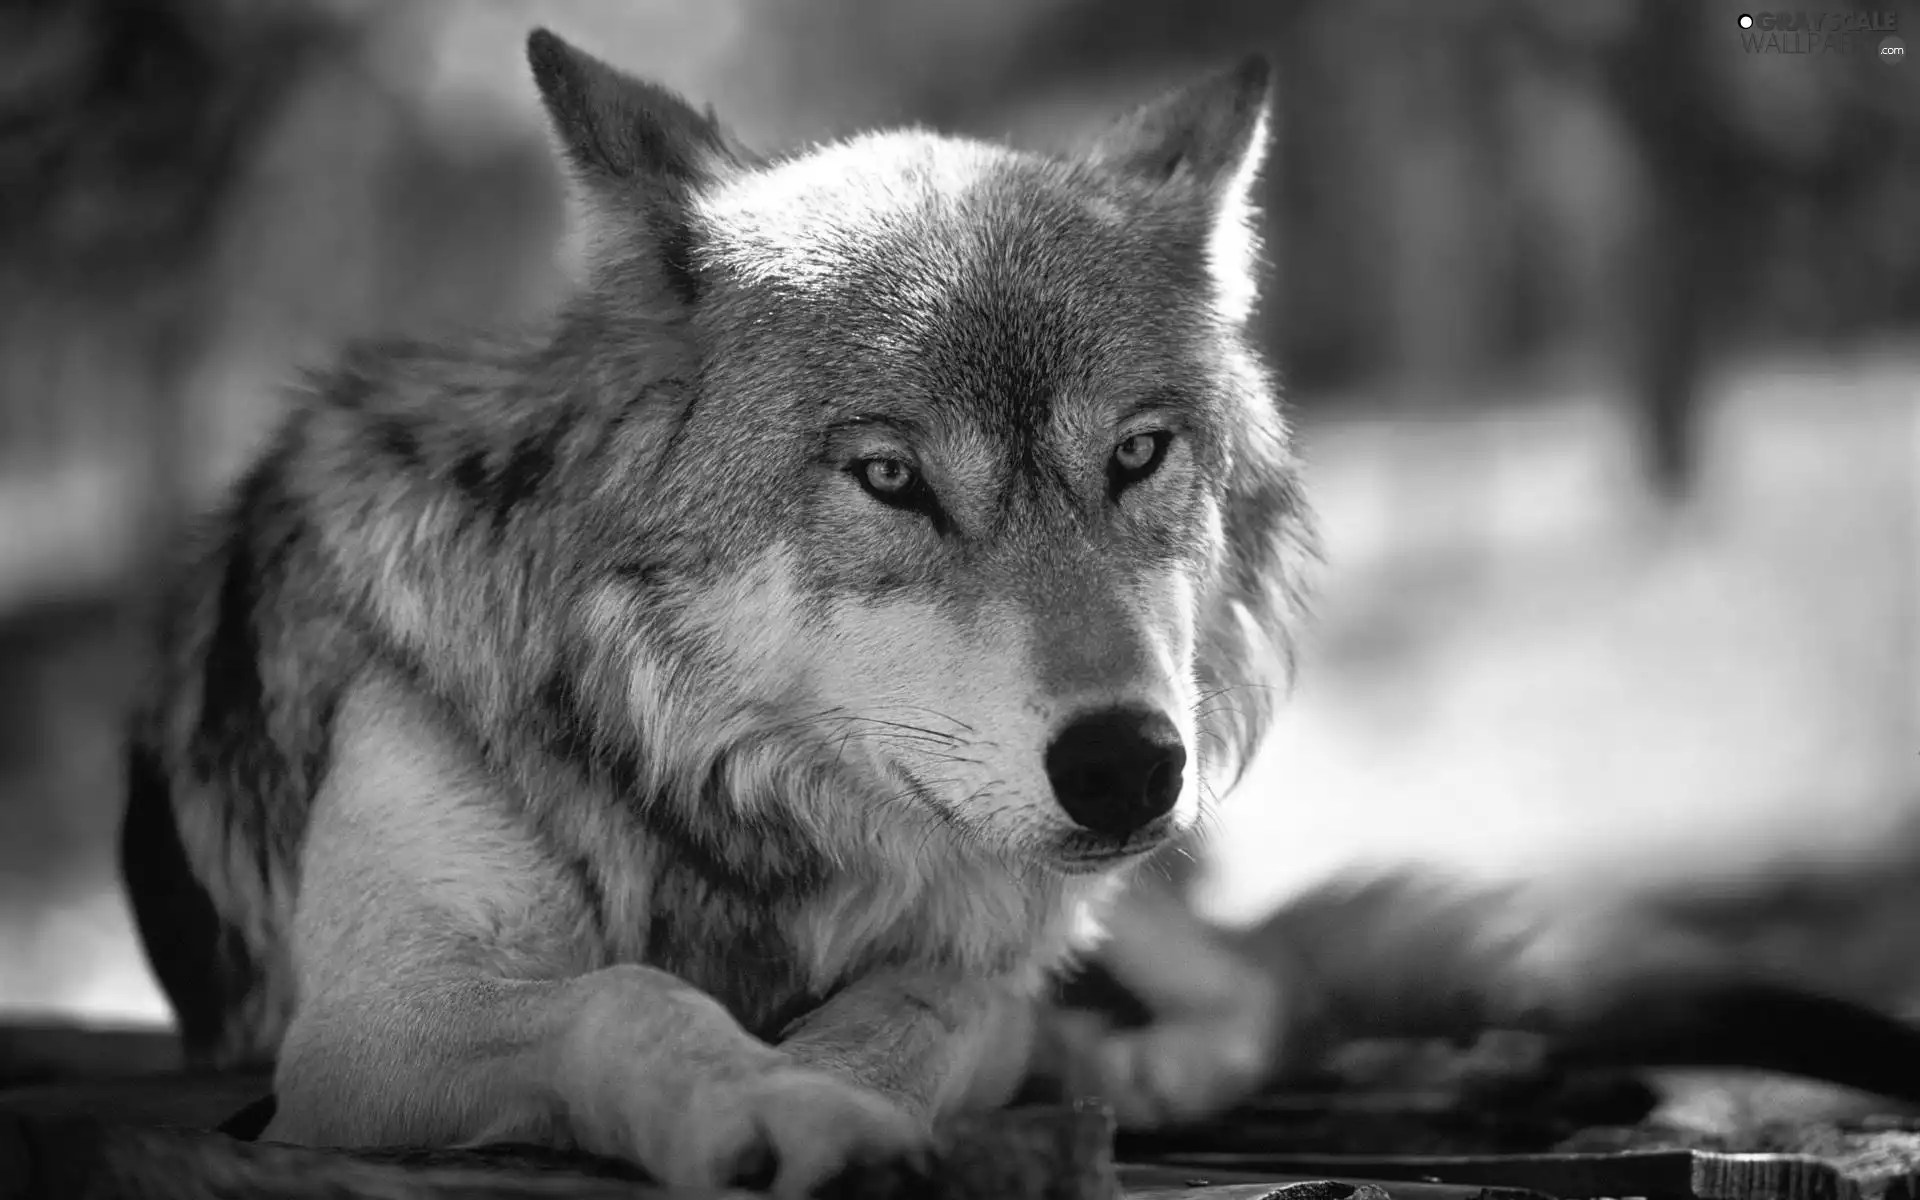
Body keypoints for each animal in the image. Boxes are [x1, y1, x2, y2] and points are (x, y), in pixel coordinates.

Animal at [119, 27, 1313, 1195]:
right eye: (891, 477)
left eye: (1136, 454)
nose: (1126, 765)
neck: (702, 790)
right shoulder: (361, 1032)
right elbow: (629, 998)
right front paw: (779, 1105)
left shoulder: (981, 961)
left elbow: (928, 1006)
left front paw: (837, 1087)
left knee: (1253, 985)